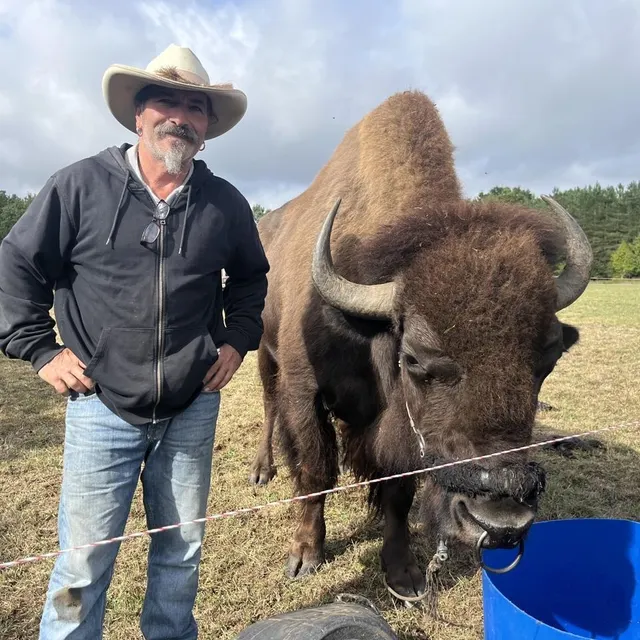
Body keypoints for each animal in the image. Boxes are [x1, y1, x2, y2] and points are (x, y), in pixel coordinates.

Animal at [249, 90, 592, 601]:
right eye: (414, 358)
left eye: (548, 360)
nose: (501, 522)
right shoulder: (305, 392)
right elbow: (315, 471)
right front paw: (305, 556)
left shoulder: (402, 435)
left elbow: (398, 490)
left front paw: (404, 573)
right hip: (263, 355)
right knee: (270, 406)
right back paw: (262, 470)